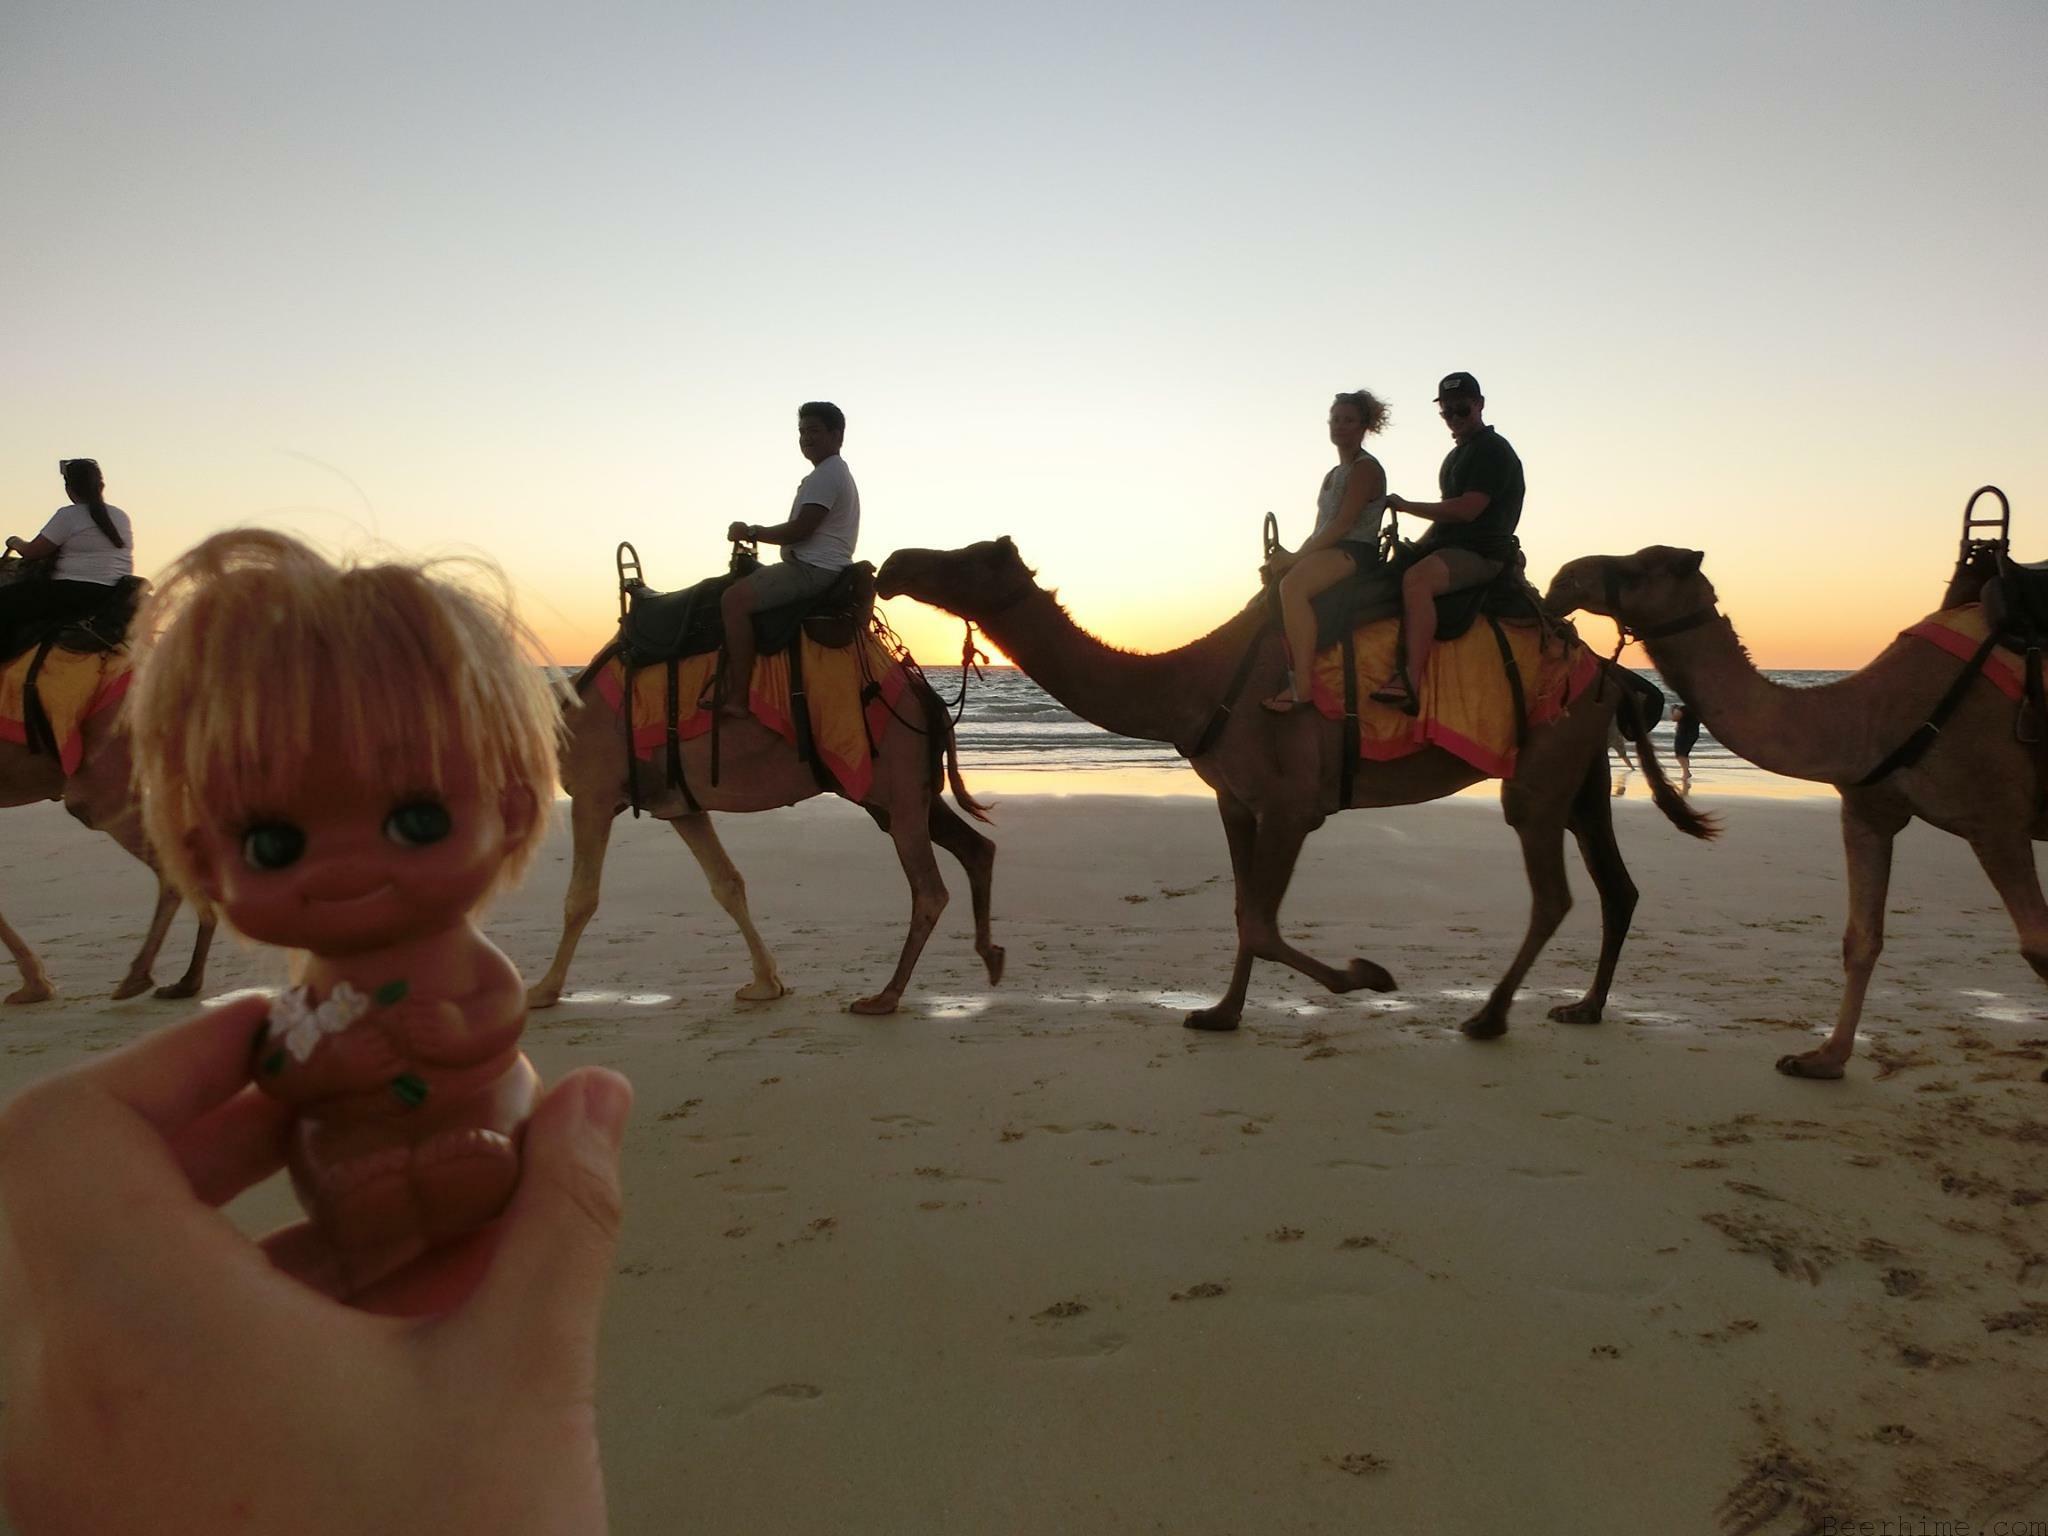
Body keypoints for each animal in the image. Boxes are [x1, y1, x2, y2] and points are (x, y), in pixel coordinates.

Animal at [532, 651, 1003, 1024]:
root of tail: (928, 696)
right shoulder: (681, 804)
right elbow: (727, 883)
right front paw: (765, 983)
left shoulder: (593, 792)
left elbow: (580, 898)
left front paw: (542, 990)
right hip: (905, 792)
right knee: (976, 848)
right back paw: (991, 957)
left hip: (897, 784)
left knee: (929, 889)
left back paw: (885, 998)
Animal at [876, 536, 1712, 1036]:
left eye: (968, 557)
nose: (894, 563)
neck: (1193, 683)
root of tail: (1611, 674)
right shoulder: (1238, 801)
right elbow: (1246, 912)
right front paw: (1220, 1013)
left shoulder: (1290, 805)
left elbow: (1263, 921)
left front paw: (1366, 976)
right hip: (1583, 778)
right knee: (1615, 886)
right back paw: (1585, 1007)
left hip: (1540, 773)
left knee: (1554, 893)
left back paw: (1489, 1017)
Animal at [1548, 548, 2048, 1081]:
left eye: (1646, 564)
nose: (1563, 578)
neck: (1877, 714)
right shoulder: (1868, 812)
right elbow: (1861, 939)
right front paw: (1823, 1059)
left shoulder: (1996, 817)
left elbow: (2037, 945)